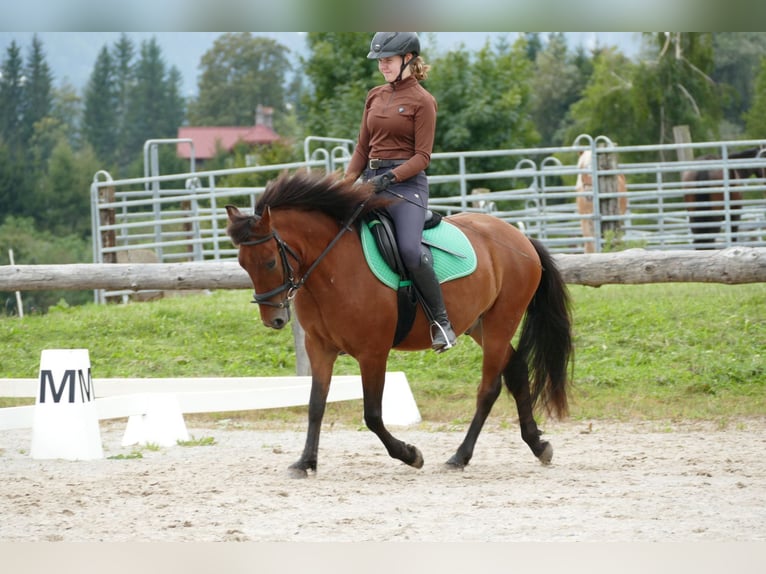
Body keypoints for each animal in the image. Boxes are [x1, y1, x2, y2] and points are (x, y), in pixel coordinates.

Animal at [225, 173, 572, 480]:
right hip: (479, 326)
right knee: (516, 370)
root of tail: (520, 238)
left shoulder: (373, 352)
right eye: (242, 263)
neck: (332, 267)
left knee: (489, 389)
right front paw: (305, 462)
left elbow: (372, 414)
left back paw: (459, 457)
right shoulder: (319, 347)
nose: (274, 320)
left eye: (270, 261)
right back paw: (538, 445)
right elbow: (315, 405)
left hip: (502, 321)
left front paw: (410, 455)